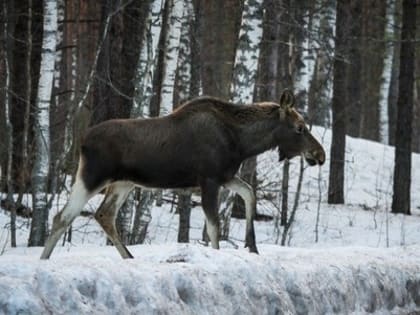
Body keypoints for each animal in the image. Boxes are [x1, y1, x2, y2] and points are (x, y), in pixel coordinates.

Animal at [41, 90, 324, 260]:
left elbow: (249, 193)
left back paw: (129, 257)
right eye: (300, 127)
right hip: (92, 177)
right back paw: (44, 259)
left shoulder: (224, 176)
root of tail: (81, 139)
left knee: (104, 215)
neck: (242, 143)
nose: (319, 154)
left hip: (123, 183)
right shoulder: (209, 180)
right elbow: (213, 226)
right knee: (62, 217)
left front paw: (252, 246)